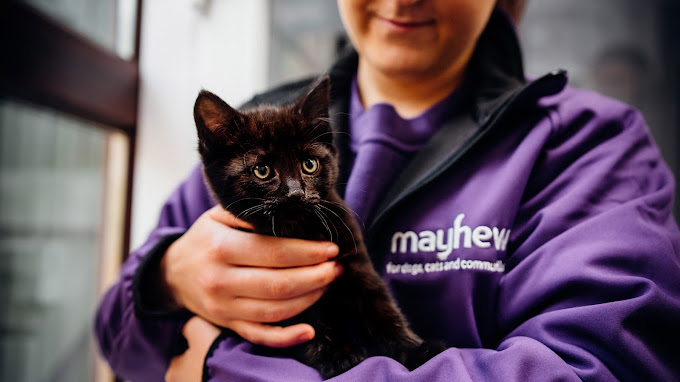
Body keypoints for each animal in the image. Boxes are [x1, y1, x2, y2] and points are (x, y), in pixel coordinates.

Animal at [194, 76, 444, 378]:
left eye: (309, 164)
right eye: (262, 171)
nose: (295, 193)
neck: (301, 231)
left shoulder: (354, 257)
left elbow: (380, 304)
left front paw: (415, 348)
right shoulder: (277, 292)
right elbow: (306, 320)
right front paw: (337, 355)